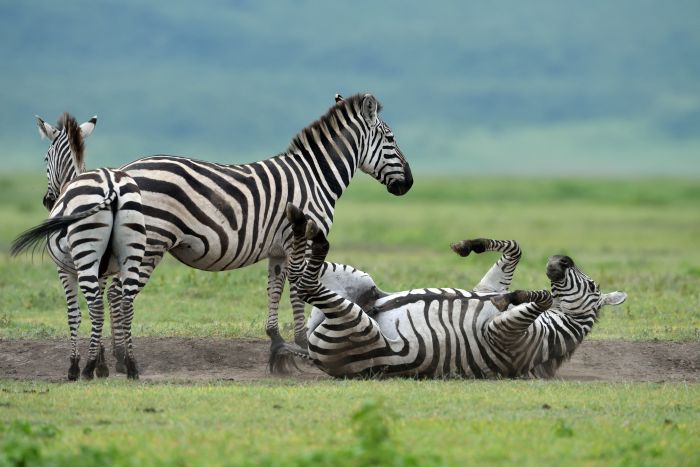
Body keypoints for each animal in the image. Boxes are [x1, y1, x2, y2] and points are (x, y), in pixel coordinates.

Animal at [12, 113, 146, 380]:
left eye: (45, 158)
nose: (47, 200)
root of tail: (111, 184)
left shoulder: (64, 271)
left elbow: (73, 313)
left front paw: (77, 364)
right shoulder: (103, 272)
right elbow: (100, 310)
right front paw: (103, 364)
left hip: (84, 256)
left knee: (94, 305)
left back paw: (85, 368)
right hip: (131, 253)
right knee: (126, 303)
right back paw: (132, 366)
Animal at [109, 91, 412, 372]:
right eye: (390, 139)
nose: (408, 184)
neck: (316, 178)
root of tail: (123, 171)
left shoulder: (278, 250)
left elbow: (275, 290)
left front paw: (277, 343)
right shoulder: (300, 241)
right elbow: (298, 289)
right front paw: (302, 344)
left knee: (113, 291)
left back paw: (117, 357)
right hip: (150, 244)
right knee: (122, 293)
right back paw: (127, 361)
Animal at [282, 205, 628, 380]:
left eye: (592, 286)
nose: (561, 259)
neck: (549, 330)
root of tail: (316, 358)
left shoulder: (502, 336)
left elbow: (538, 296)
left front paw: (512, 298)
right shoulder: (485, 288)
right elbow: (515, 248)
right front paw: (470, 245)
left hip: (356, 325)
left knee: (305, 284)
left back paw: (305, 226)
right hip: (360, 282)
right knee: (299, 277)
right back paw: (301, 224)